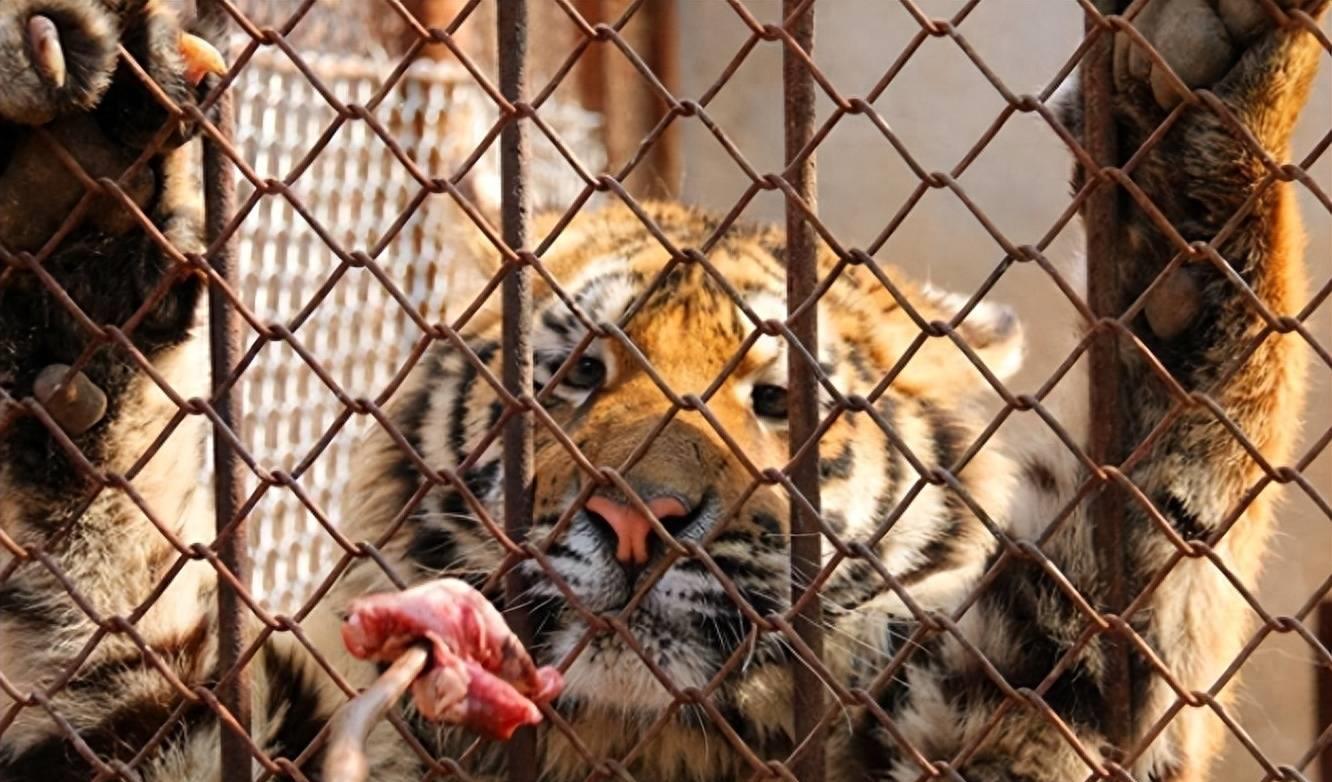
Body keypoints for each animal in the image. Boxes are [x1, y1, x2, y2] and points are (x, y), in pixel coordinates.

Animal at [0, 0, 1325, 780]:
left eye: (777, 401)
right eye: (581, 371)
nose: (638, 520)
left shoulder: (1002, 714)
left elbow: (1140, 534)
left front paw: (1198, 128)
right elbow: (95, 585)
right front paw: (76, 219)